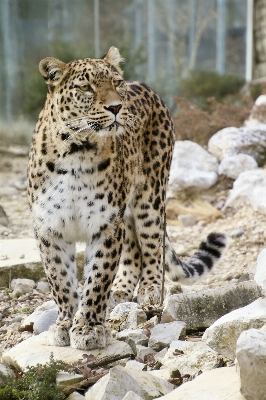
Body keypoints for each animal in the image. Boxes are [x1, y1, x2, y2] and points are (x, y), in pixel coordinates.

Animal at [27, 47, 228, 350]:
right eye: (85, 88)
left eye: (116, 83)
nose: (116, 108)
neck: (75, 151)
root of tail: (146, 86)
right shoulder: (49, 228)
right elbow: (60, 281)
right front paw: (64, 324)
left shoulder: (105, 224)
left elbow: (97, 279)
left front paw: (88, 328)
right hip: (129, 209)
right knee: (133, 247)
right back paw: (121, 291)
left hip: (150, 197)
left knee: (152, 245)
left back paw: (150, 291)